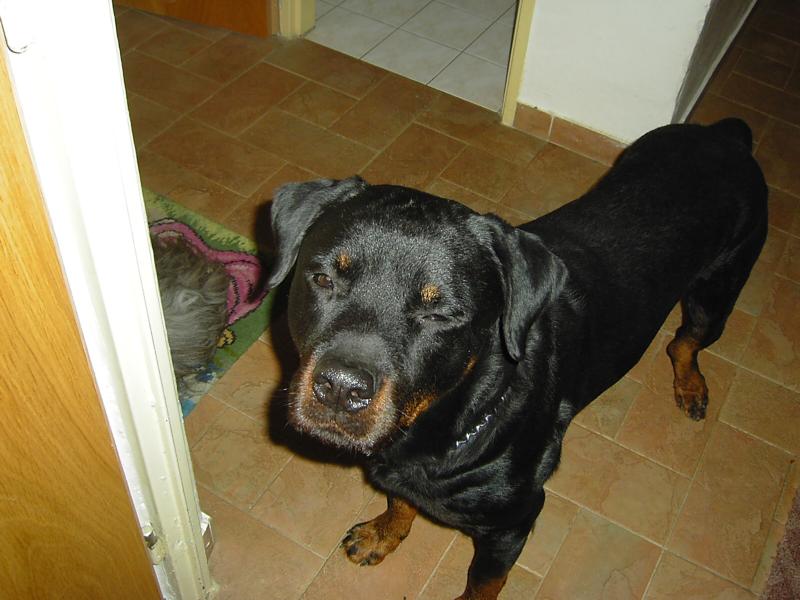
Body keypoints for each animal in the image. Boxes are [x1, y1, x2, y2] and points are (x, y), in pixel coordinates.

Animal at [265, 118, 767, 600]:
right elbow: (401, 499)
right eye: (323, 278)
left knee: (684, 342)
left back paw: (691, 386)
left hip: (717, 292)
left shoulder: (512, 525)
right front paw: (383, 533)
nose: (340, 387)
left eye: (440, 313)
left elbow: (483, 584)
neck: (448, 415)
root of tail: (724, 135)